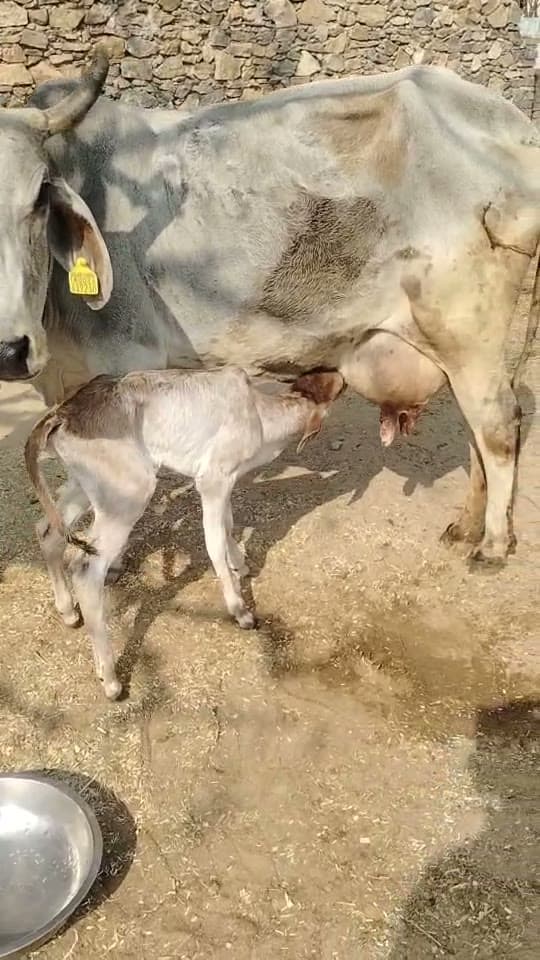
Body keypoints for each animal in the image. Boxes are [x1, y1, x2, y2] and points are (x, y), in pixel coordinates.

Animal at [0, 44, 538, 566]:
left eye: (39, 198)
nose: (10, 350)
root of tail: (514, 127)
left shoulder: (126, 362)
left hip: (468, 332)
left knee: (497, 425)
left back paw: (492, 544)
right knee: (475, 431)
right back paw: (465, 526)